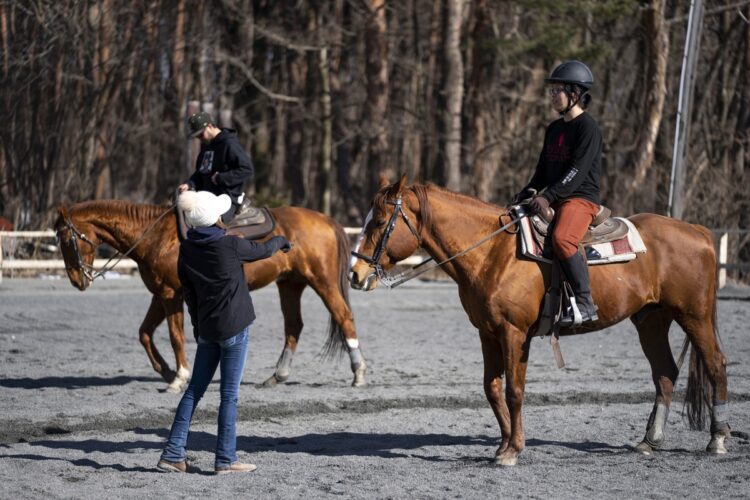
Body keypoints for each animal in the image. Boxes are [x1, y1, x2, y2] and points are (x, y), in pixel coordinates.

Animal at [55, 198, 368, 390]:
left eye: (67, 238)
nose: (76, 280)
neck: (157, 236)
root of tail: (326, 220)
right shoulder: (159, 293)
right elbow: (144, 332)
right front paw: (166, 370)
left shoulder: (171, 294)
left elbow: (175, 335)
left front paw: (179, 376)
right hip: (290, 284)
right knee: (294, 326)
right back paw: (276, 376)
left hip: (322, 281)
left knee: (344, 316)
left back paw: (358, 372)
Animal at [354, 176, 736, 464]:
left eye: (379, 222)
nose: (355, 275)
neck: (493, 253)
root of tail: (698, 232)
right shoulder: (488, 333)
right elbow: (492, 388)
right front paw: (503, 445)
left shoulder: (514, 334)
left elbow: (514, 390)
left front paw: (512, 450)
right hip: (651, 320)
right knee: (665, 373)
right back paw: (649, 441)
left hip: (694, 315)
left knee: (715, 363)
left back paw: (717, 439)